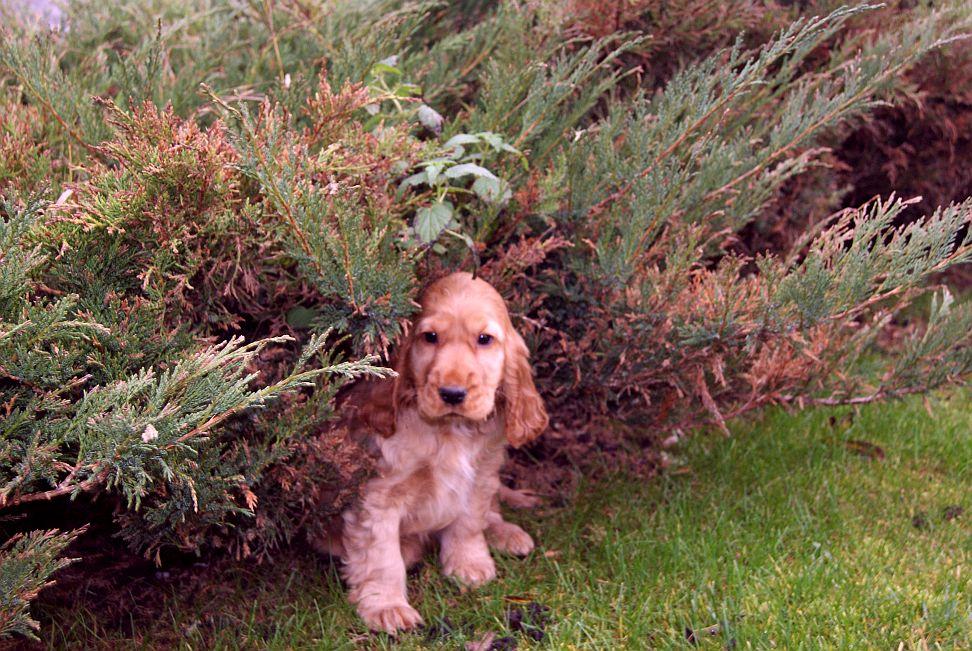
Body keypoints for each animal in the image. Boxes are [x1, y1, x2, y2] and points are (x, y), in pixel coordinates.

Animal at [324, 272, 548, 636]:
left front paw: (470, 564)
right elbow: (382, 556)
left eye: (484, 339)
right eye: (430, 337)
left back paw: (506, 532)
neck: (449, 432)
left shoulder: (479, 476)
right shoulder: (377, 495)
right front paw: (387, 606)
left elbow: (468, 523)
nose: (453, 393)